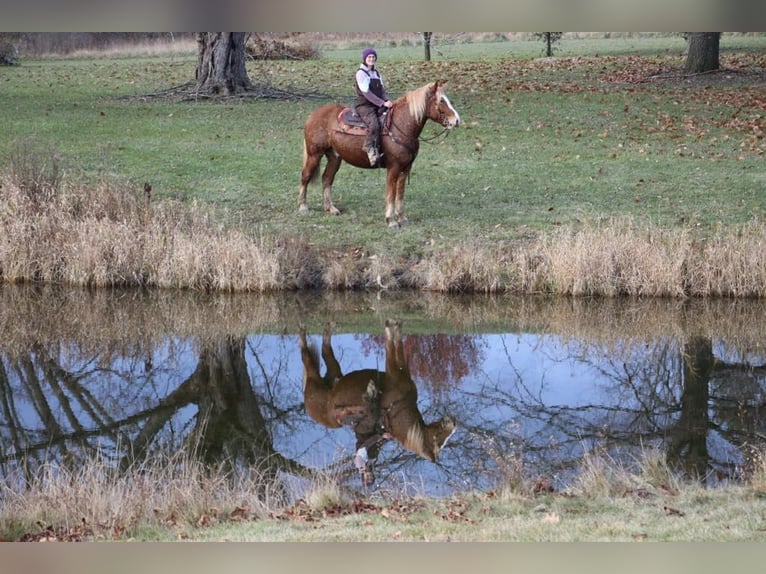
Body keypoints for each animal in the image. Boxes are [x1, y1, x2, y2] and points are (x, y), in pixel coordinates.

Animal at [296, 81, 460, 230]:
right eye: (441, 101)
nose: (457, 120)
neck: (400, 127)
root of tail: (313, 114)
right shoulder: (393, 168)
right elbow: (391, 194)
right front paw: (391, 221)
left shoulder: (406, 168)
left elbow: (400, 193)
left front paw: (402, 217)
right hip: (314, 154)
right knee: (306, 176)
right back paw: (303, 207)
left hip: (334, 157)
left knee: (327, 178)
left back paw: (331, 208)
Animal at [298, 320, 456, 486]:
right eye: (438, 437)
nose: (454, 422)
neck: (397, 409)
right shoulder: (394, 371)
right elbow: (393, 346)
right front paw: (392, 326)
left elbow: (397, 346)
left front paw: (394, 326)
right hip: (314, 379)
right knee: (306, 356)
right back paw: (303, 329)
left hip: (333, 373)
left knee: (325, 350)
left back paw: (328, 328)